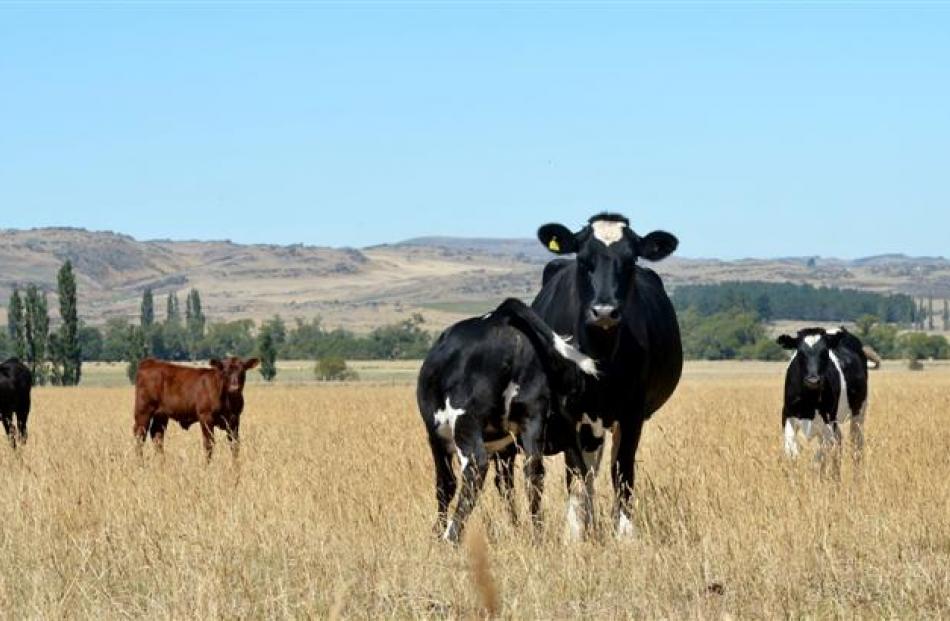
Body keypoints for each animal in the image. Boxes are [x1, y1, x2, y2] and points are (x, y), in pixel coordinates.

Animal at [420, 296, 600, 544]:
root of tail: (501, 316)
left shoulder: (438, 439)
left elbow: (445, 485)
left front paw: (438, 533)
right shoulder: (507, 447)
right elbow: (505, 484)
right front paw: (514, 528)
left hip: (465, 422)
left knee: (475, 468)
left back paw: (452, 536)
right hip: (536, 420)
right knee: (539, 473)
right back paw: (538, 536)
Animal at [532, 212, 680, 536]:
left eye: (630, 260)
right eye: (583, 259)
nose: (604, 311)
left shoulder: (632, 413)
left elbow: (622, 471)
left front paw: (624, 534)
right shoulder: (569, 414)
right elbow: (575, 474)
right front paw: (574, 534)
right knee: (586, 472)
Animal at [776, 324, 872, 474]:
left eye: (824, 352)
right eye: (800, 353)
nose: (813, 380)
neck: (809, 401)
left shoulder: (826, 423)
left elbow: (819, 458)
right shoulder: (787, 416)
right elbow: (793, 454)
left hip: (858, 412)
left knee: (855, 445)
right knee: (838, 442)